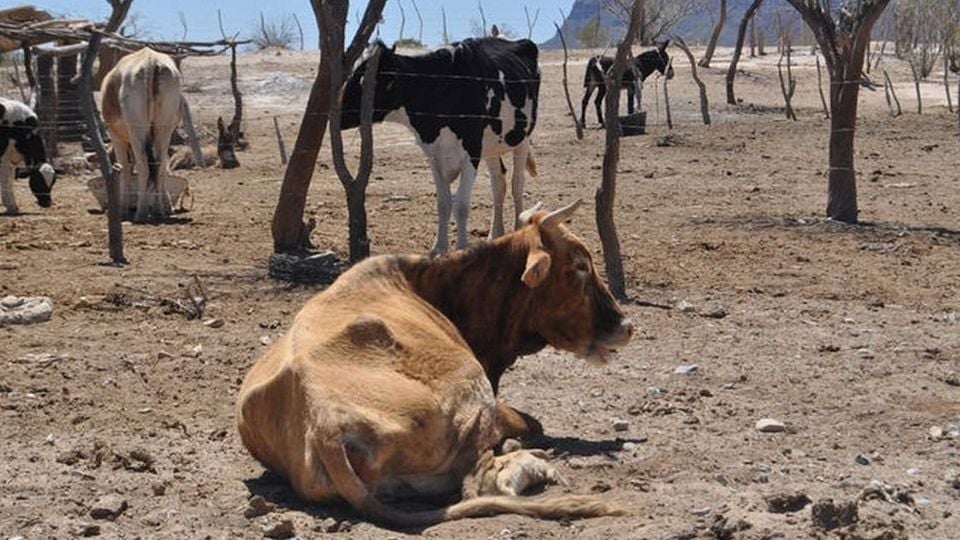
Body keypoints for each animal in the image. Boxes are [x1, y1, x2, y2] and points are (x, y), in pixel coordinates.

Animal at [100, 47, 183, 221]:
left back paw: (141, 212)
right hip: (163, 130)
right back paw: (157, 210)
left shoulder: (117, 137)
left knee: (144, 166)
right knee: (158, 166)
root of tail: (150, 61)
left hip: (137, 132)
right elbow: (163, 168)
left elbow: (125, 168)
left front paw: (123, 209)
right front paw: (167, 207)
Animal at [236, 200, 632, 524]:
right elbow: (531, 422)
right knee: (481, 483)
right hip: (471, 386)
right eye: (580, 266)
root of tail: (326, 425)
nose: (626, 326)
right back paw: (530, 461)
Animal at [344, 37, 540, 255]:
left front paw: (461, 248)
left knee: (517, 183)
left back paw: (517, 229)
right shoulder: (434, 155)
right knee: (498, 183)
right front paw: (439, 248)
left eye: (364, 81)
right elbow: (443, 203)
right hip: (491, 146)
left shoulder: (472, 151)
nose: (339, 113)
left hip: (522, 139)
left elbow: (461, 205)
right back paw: (495, 234)